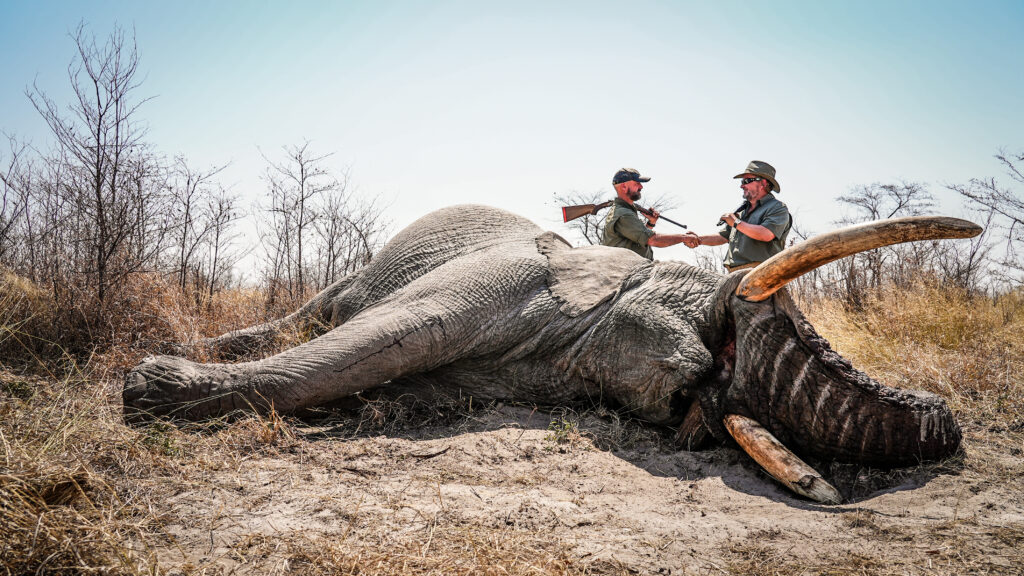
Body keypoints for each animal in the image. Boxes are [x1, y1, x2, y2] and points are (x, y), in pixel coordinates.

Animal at [124, 205, 980, 503]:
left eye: (689, 407)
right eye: (713, 327)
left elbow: (400, 376)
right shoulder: (515, 274)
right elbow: (397, 331)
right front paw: (145, 388)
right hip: (364, 269)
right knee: (325, 312)